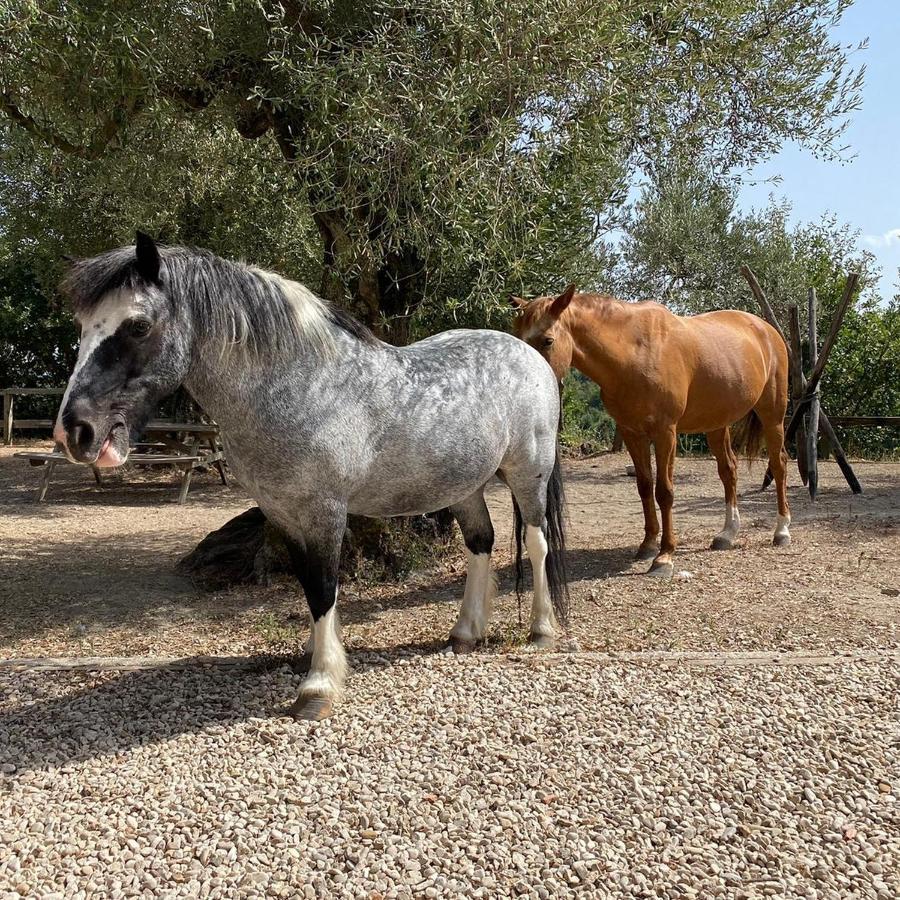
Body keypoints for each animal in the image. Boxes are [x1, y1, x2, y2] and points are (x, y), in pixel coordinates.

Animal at [52, 236, 568, 720]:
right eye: (82, 327)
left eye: (138, 325)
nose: (73, 433)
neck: (302, 386)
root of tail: (528, 354)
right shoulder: (284, 513)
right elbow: (310, 587)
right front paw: (321, 659)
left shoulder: (324, 513)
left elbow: (323, 587)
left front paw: (318, 687)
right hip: (464, 486)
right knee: (481, 541)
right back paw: (465, 633)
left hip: (528, 473)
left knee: (537, 541)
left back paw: (542, 631)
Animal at [512, 284, 788, 572]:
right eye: (516, 336)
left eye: (547, 340)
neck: (634, 354)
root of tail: (766, 330)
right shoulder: (633, 434)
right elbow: (644, 486)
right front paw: (647, 545)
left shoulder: (665, 433)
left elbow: (664, 491)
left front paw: (664, 555)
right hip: (716, 423)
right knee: (728, 471)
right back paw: (727, 533)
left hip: (773, 416)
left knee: (779, 464)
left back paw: (781, 531)